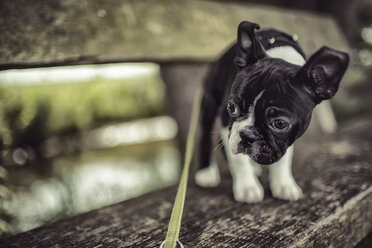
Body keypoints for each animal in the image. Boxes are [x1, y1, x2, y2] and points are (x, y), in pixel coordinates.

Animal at [195, 20, 348, 203]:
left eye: (280, 123)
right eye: (232, 107)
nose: (248, 136)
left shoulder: (287, 138)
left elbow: (283, 158)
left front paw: (284, 185)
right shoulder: (227, 121)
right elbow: (238, 160)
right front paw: (247, 188)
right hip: (210, 100)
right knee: (205, 135)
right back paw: (206, 172)